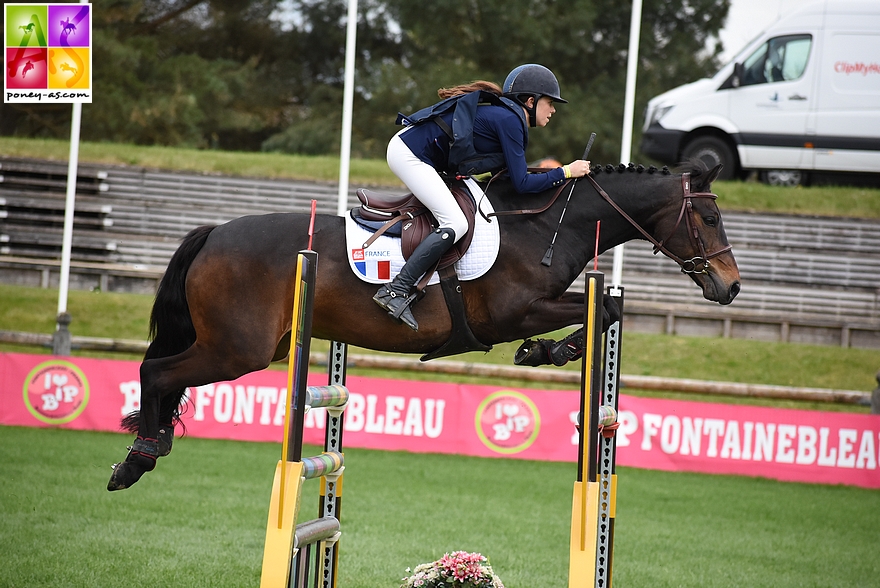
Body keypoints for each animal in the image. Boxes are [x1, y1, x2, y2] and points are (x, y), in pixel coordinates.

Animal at [108, 158, 744, 490]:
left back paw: (151, 444)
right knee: (157, 371)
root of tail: (213, 233)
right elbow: (605, 310)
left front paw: (547, 352)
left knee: (163, 372)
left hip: (244, 346)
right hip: (238, 349)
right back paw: (139, 457)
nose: (731, 286)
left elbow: (607, 309)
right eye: (711, 218)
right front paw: (546, 352)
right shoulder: (509, 313)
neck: (545, 225)